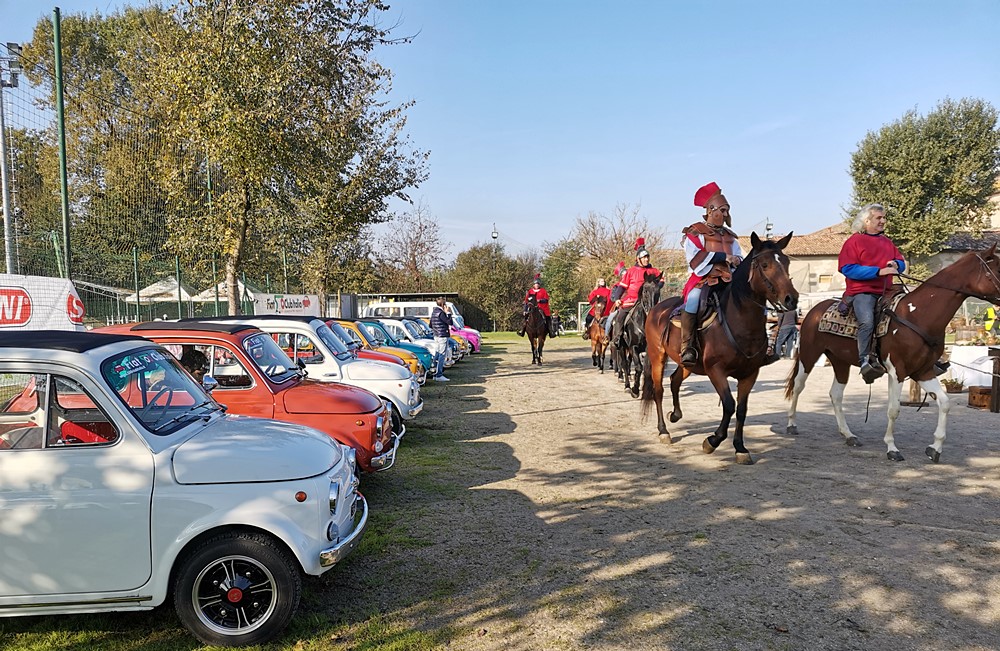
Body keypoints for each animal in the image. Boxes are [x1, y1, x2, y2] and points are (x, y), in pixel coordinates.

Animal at [640, 232, 796, 466]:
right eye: (765, 264)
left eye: (786, 262)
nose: (791, 299)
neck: (739, 321)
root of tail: (656, 309)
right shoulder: (716, 371)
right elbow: (729, 405)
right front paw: (712, 441)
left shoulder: (750, 374)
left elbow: (741, 410)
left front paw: (740, 448)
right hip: (657, 356)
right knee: (658, 391)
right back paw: (663, 431)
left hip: (687, 363)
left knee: (675, 380)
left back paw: (675, 415)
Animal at [784, 244, 1000, 464]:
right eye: (998, 268)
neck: (918, 315)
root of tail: (814, 311)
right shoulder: (897, 371)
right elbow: (894, 409)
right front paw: (892, 448)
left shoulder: (923, 372)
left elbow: (945, 403)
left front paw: (935, 448)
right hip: (808, 355)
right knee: (798, 386)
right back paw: (791, 425)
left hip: (840, 361)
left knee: (835, 394)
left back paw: (849, 435)